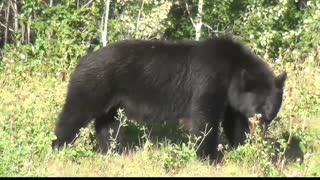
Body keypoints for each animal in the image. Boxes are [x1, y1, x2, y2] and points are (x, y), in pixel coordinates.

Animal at [52, 36, 288, 160]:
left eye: (274, 104)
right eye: (262, 103)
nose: (267, 118)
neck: (232, 69)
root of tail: (81, 62)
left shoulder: (232, 98)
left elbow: (234, 121)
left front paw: (243, 149)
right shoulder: (209, 80)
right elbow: (205, 118)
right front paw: (208, 157)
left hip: (112, 101)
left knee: (108, 124)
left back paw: (115, 150)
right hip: (94, 85)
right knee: (74, 113)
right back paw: (57, 146)